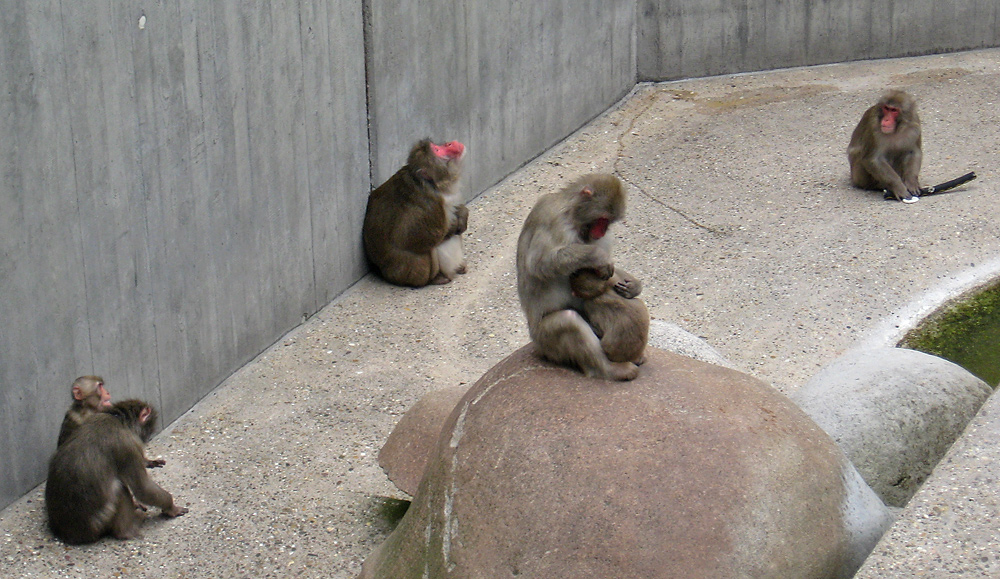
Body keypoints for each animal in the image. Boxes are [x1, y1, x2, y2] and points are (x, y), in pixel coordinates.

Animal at [45, 398, 187, 544]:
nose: (145, 439)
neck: (118, 419)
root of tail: (67, 534)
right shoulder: (128, 446)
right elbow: (143, 489)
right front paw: (171, 507)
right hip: (99, 522)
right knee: (119, 489)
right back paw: (126, 530)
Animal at [364, 139, 468, 288]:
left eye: (437, 146)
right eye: (437, 150)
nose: (450, 143)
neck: (437, 185)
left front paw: (463, 214)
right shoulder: (429, 205)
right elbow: (417, 238)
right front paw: (453, 225)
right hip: (412, 275)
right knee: (429, 248)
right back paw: (436, 278)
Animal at [516, 172, 640, 380]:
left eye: (608, 222)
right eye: (602, 219)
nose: (603, 231)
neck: (572, 213)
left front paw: (634, 285)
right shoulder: (554, 219)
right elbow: (540, 263)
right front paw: (598, 256)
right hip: (546, 342)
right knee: (569, 320)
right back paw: (607, 370)